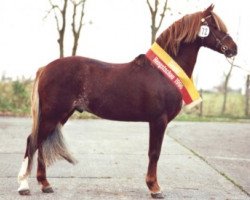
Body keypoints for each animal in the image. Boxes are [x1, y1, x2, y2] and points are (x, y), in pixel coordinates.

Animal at [17, 4, 236, 198]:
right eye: (215, 26)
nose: (234, 49)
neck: (162, 72)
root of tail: (45, 68)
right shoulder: (159, 120)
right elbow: (154, 153)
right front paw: (155, 188)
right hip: (52, 114)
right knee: (32, 141)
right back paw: (23, 186)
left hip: (60, 115)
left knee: (41, 143)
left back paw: (46, 185)